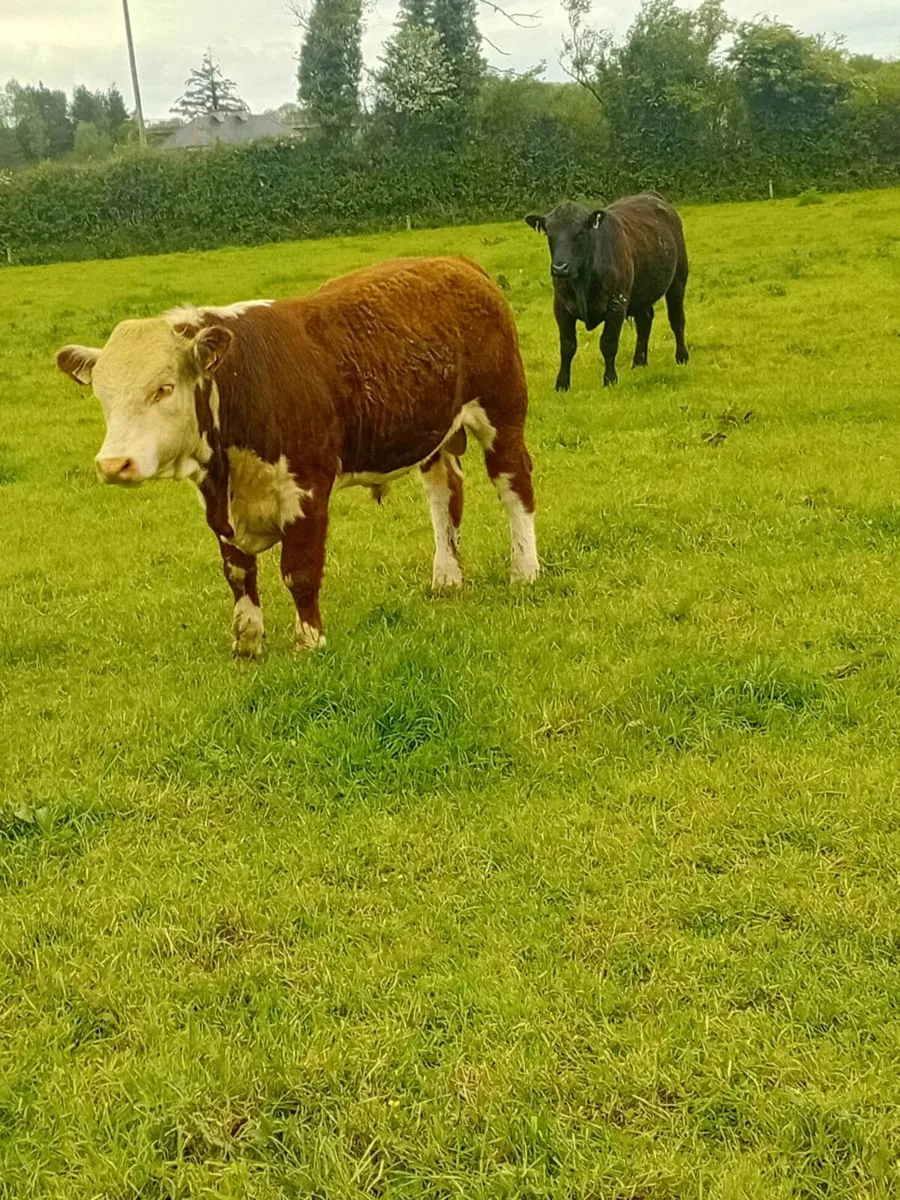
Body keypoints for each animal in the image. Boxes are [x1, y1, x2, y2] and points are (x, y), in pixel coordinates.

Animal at [55, 257, 539, 657]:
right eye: (102, 395)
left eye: (164, 388)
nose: (113, 464)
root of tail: (457, 262)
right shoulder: (218, 506)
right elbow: (238, 574)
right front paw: (247, 643)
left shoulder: (308, 490)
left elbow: (299, 571)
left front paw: (310, 641)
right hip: (435, 437)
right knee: (444, 497)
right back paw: (446, 578)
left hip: (502, 414)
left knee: (515, 487)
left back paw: (525, 571)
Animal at [525, 193, 689, 390]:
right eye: (549, 233)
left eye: (580, 233)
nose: (560, 267)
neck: (582, 281)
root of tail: (650, 196)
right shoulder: (561, 307)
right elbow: (567, 345)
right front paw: (562, 384)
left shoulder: (616, 304)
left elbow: (608, 343)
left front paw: (610, 379)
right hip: (640, 295)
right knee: (645, 322)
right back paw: (639, 362)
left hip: (678, 281)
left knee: (676, 320)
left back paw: (681, 357)